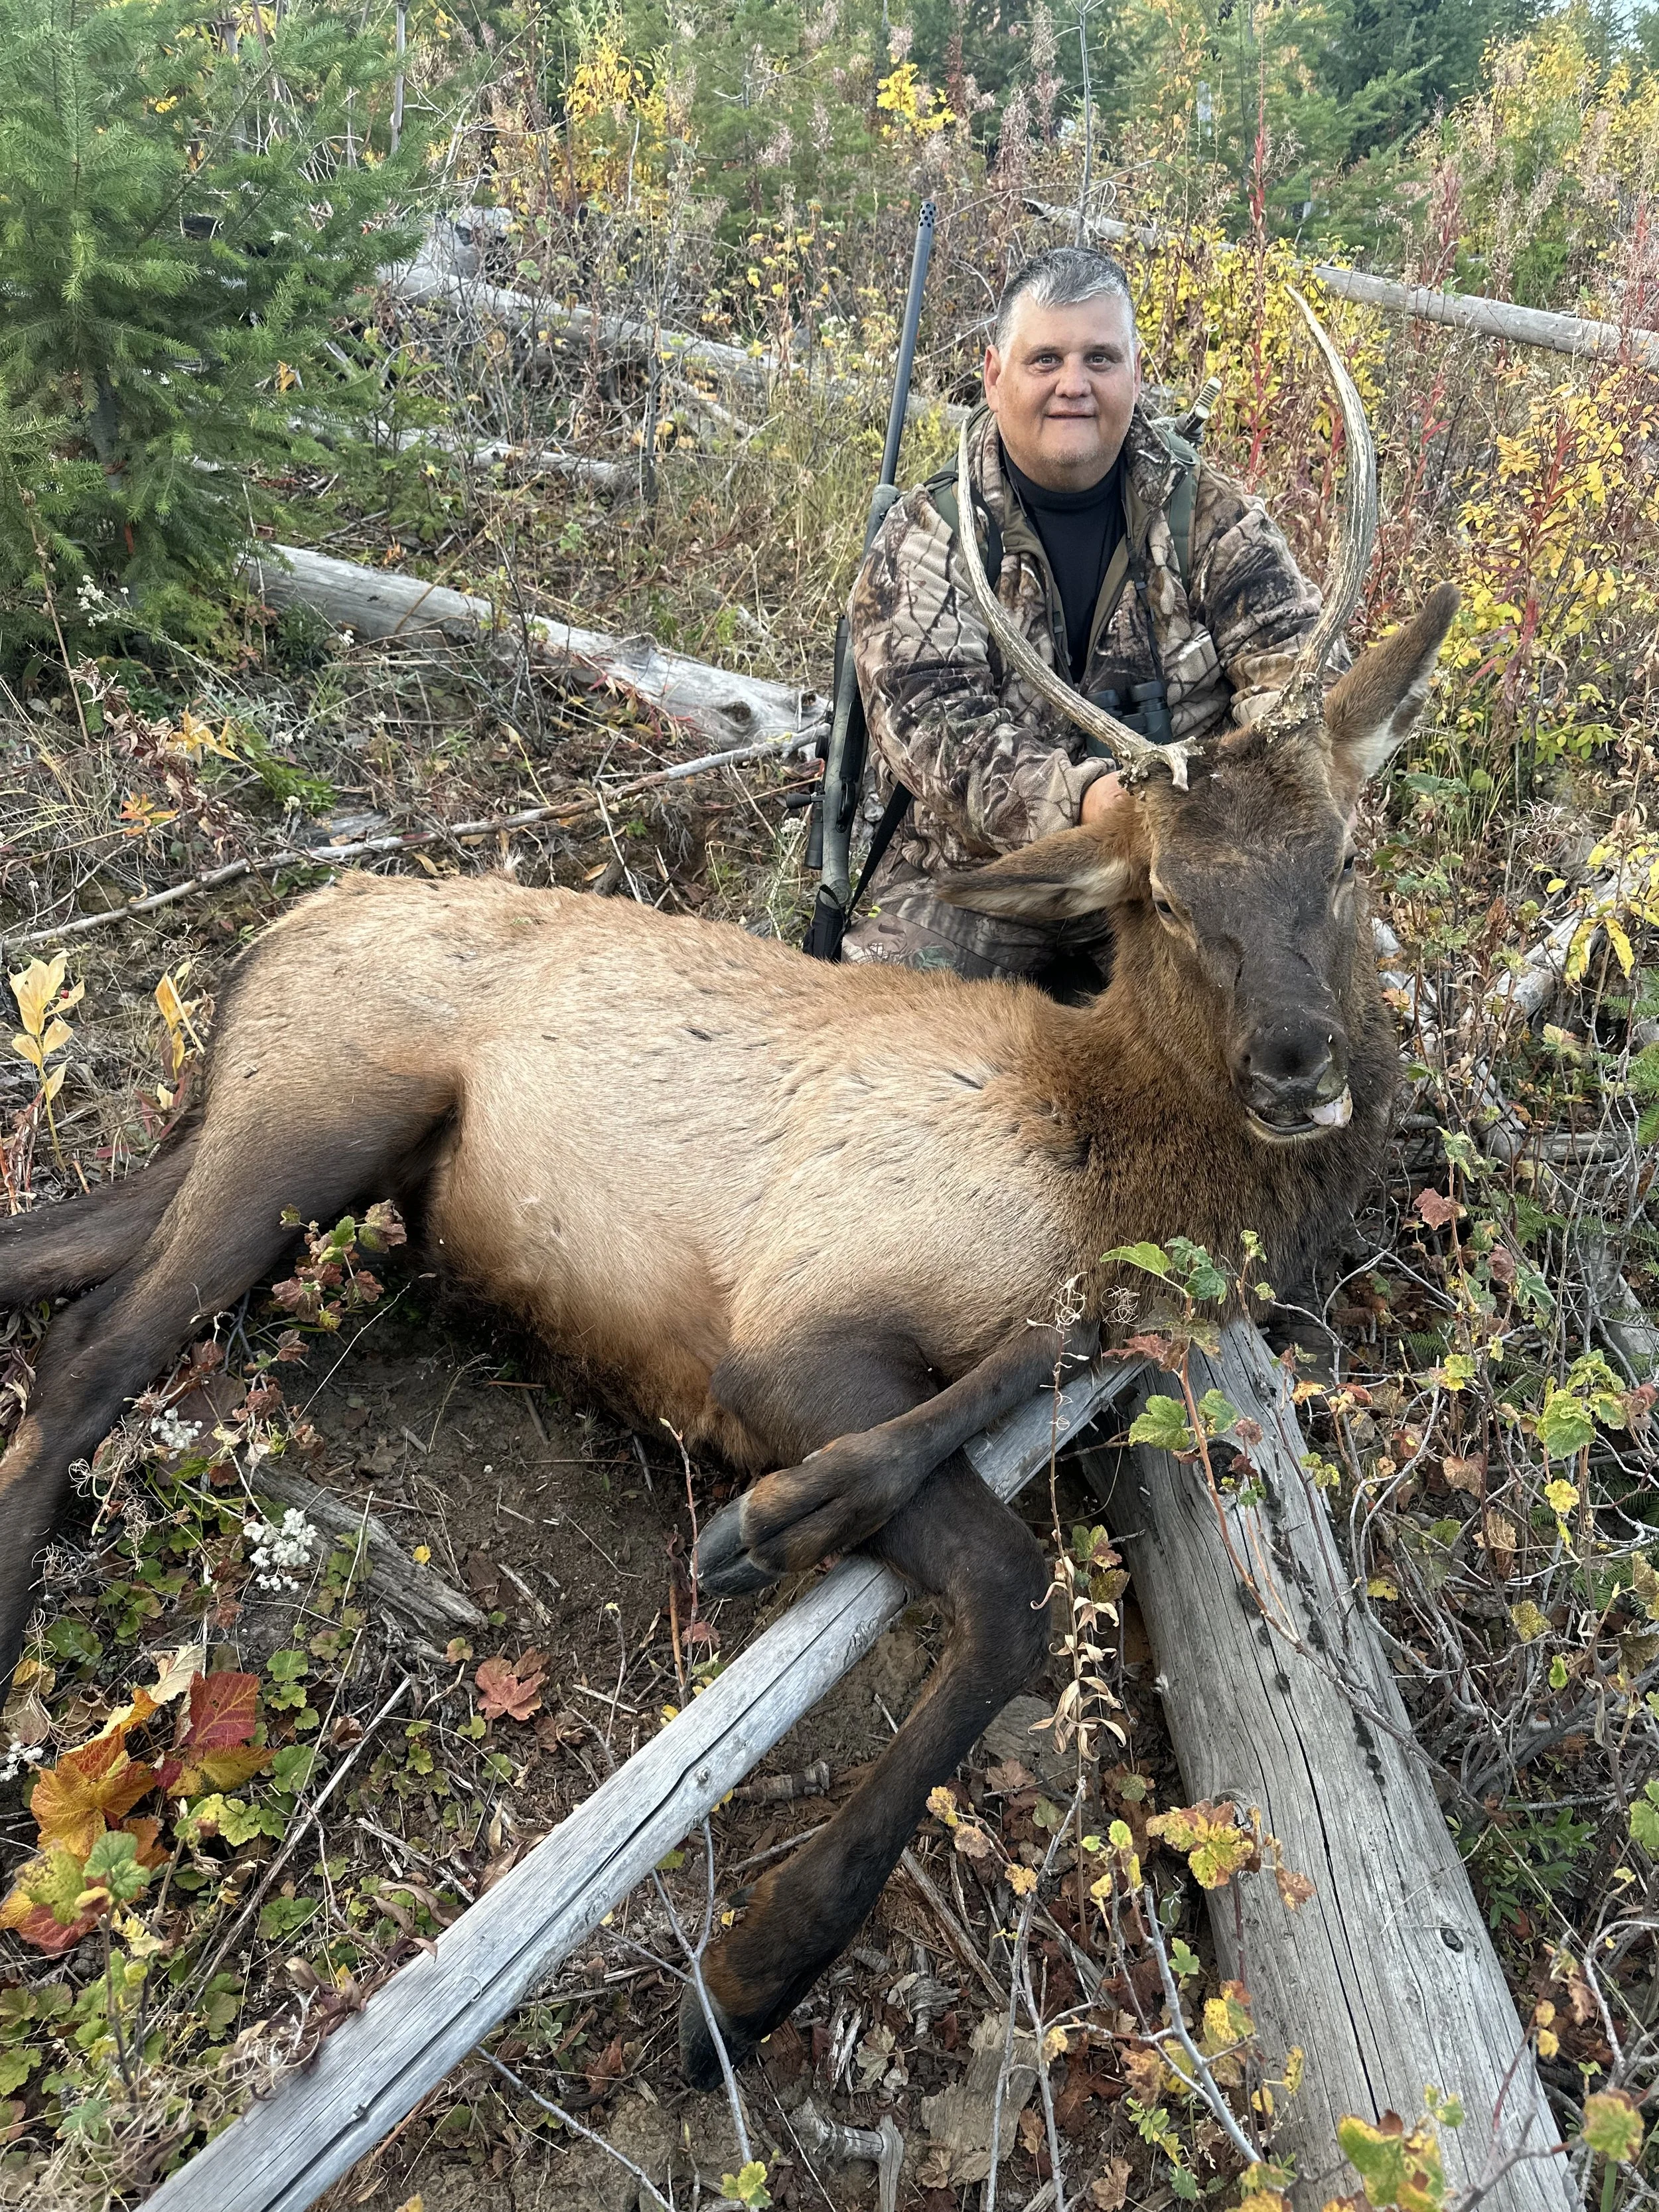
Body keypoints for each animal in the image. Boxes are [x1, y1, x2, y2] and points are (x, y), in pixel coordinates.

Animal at [0, 296, 1455, 2086]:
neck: (1102, 1154)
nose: (1300, 1067)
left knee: (50, 1261)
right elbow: (1006, 1578)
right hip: (327, 1108)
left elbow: (1026, 1383)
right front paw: (754, 1961)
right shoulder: (792, 1323)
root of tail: (273, 934)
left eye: (1345, 851)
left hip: (244, 1135)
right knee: (93, 1353)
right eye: (1166, 895)